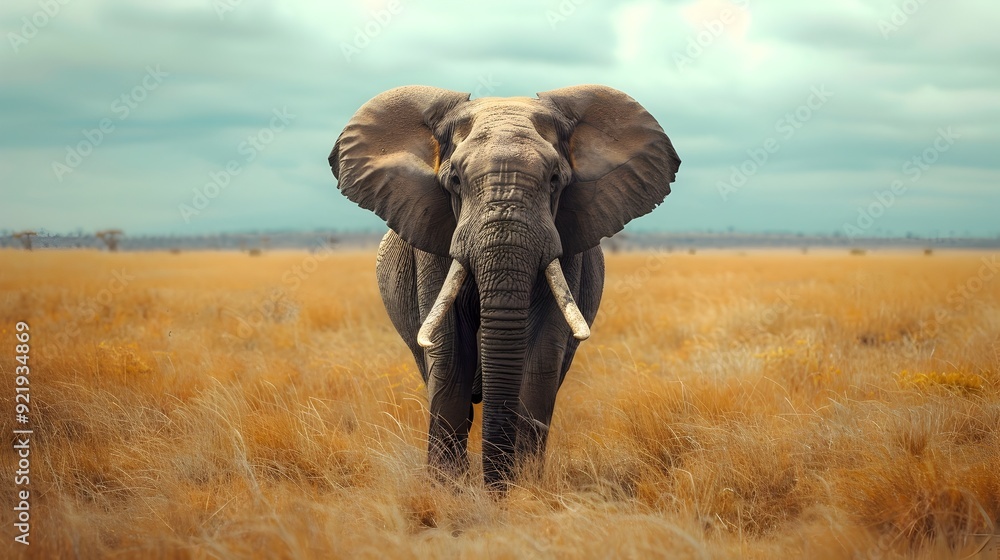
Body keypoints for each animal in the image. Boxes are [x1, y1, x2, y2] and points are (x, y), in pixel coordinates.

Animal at [329, 84, 680, 490]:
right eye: (455, 180)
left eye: (555, 179)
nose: (495, 487)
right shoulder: (433, 242)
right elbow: (449, 354)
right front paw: (447, 491)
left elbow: (541, 353)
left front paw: (522, 489)